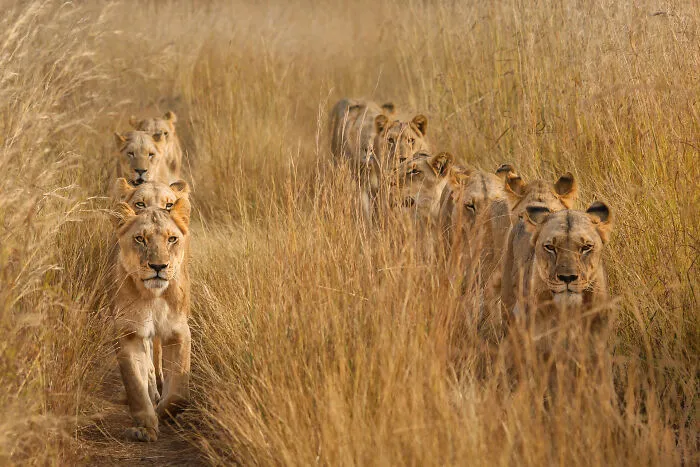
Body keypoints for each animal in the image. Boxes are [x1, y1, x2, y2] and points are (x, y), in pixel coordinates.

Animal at [112, 200, 191, 442]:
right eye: (140, 239)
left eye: (172, 239)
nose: (158, 267)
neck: (154, 297)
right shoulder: (129, 332)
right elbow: (135, 385)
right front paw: (145, 427)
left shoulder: (179, 332)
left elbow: (179, 393)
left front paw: (164, 413)